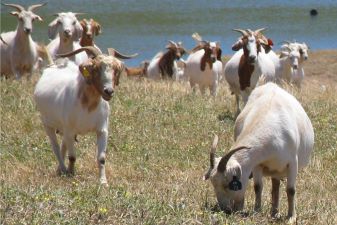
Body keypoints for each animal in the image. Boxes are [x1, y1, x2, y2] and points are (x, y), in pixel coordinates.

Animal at [203, 82, 314, 223]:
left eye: (228, 184)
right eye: (213, 184)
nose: (226, 210)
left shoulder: (292, 163)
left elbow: (291, 190)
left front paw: (291, 218)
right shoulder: (256, 164)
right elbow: (258, 187)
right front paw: (256, 211)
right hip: (275, 169)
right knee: (275, 185)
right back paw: (274, 212)